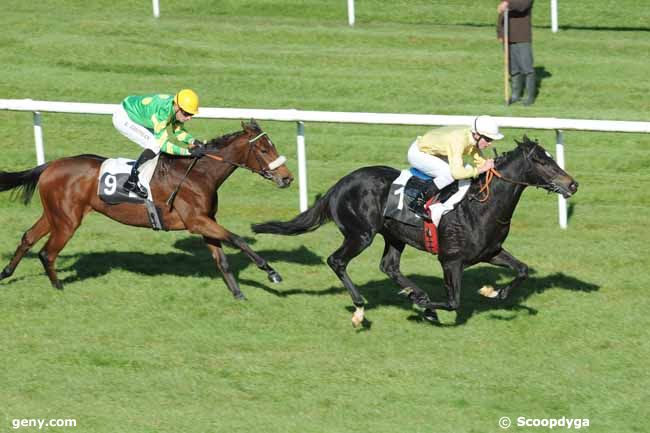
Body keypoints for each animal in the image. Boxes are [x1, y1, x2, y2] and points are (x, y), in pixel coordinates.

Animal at [0, 120, 292, 296]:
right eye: (264, 149)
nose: (287, 178)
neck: (200, 174)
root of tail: (50, 165)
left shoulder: (205, 221)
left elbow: (221, 258)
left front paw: (238, 293)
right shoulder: (196, 221)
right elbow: (238, 239)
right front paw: (272, 272)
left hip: (54, 214)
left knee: (28, 238)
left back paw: (6, 273)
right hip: (68, 220)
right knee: (47, 253)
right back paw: (59, 286)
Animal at [253, 136, 576, 324]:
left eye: (551, 157)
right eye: (541, 160)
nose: (572, 184)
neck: (481, 206)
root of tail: (340, 184)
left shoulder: (490, 251)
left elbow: (522, 270)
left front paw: (496, 293)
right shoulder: (451, 260)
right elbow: (453, 301)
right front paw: (426, 305)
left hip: (394, 236)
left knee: (389, 266)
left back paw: (413, 293)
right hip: (361, 234)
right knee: (337, 260)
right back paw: (361, 305)